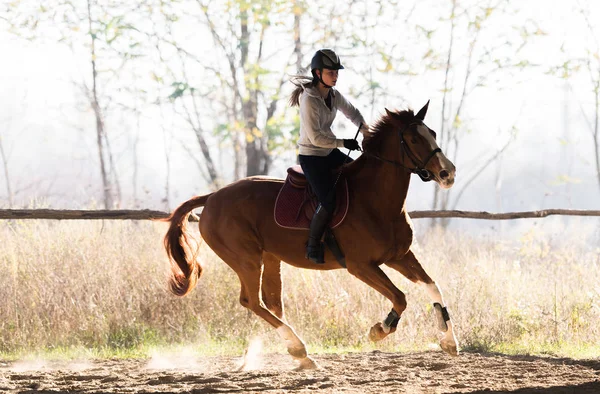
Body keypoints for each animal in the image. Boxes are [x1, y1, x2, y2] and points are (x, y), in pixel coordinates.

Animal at [162, 101, 458, 370]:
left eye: (432, 132)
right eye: (413, 139)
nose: (448, 173)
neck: (376, 200)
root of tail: (212, 197)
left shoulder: (399, 256)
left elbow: (433, 286)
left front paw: (448, 340)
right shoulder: (361, 266)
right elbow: (400, 297)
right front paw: (379, 330)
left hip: (270, 258)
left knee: (271, 302)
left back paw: (297, 354)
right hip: (246, 260)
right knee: (252, 301)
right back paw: (298, 348)